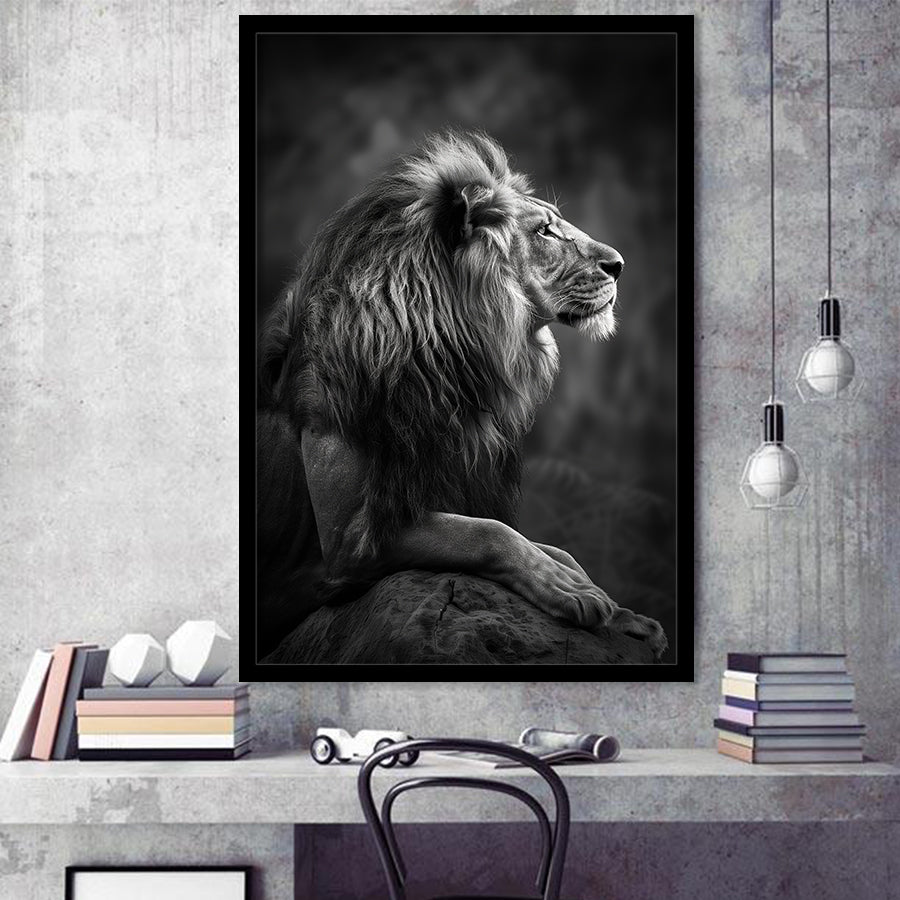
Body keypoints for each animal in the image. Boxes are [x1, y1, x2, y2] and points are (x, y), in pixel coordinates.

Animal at [256, 130, 667, 660]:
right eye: (545, 231)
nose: (618, 265)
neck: (448, 360)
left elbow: (554, 547)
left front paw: (620, 612)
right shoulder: (348, 542)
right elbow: (489, 533)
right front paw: (568, 590)